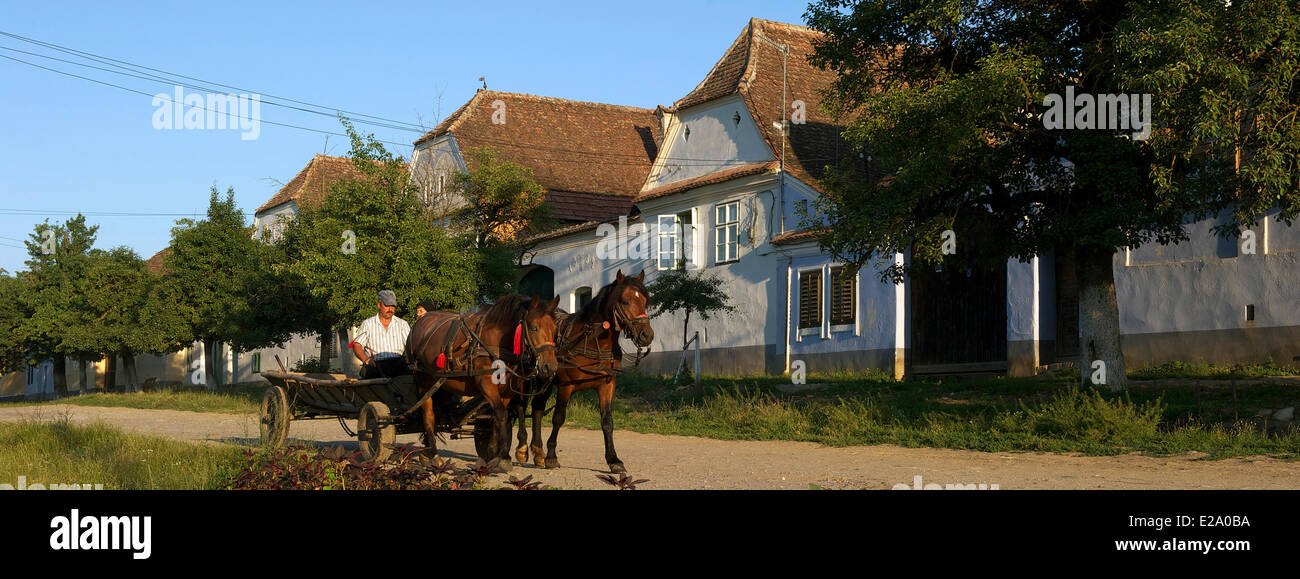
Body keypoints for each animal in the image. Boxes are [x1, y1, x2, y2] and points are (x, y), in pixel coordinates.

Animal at [405, 292, 559, 468]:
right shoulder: (486, 383)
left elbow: (496, 418)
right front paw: (503, 457)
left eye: (555, 329)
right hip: (424, 382)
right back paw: (434, 455)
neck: (496, 339)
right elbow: (501, 414)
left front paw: (491, 453)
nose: (550, 367)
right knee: (428, 416)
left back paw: (427, 451)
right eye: (534, 327)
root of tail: (420, 321)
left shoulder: (506, 390)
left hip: (442, 385)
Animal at [512, 268, 655, 471]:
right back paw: (523, 448)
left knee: (538, 408)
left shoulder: (606, 386)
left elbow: (607, 422)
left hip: (545, 380)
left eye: (645, 301)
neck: (592, 340)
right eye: (625, 301)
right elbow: (558, 417)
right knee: (521, 407)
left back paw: (538, 451)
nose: (646, 335)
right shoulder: (566, 386)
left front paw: (613, 460)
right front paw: (552, 456)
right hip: (524, 378)